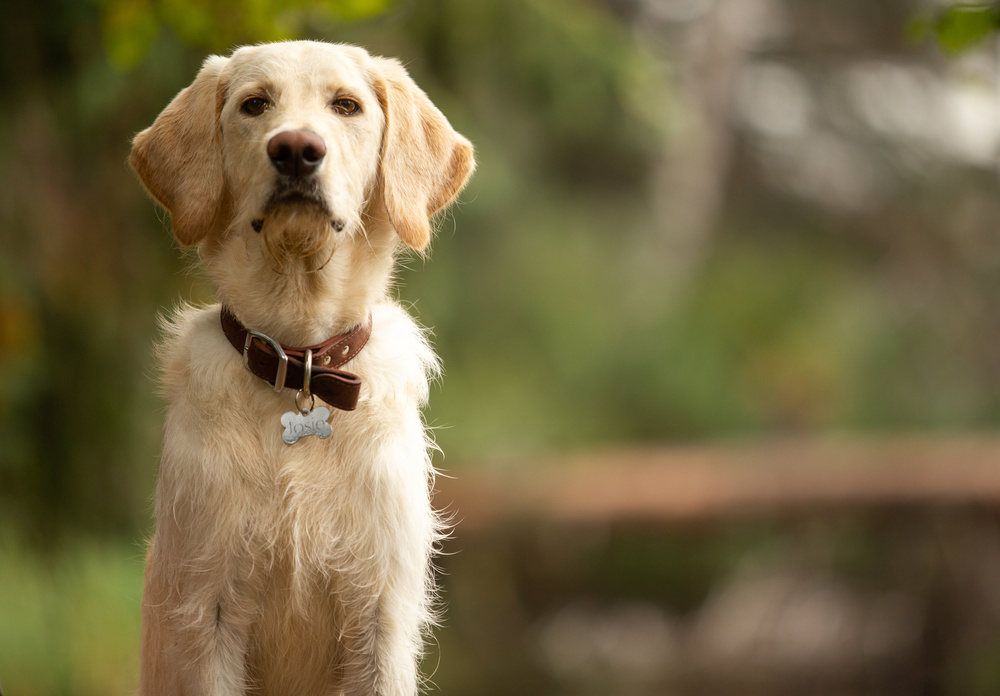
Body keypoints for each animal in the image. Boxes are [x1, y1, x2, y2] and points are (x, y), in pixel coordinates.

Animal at [131, 42, 474, 696]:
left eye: (346, 105)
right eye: (254, 104)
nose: (295, 148)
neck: (300, 363)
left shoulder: (379, 611)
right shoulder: (206, 608)